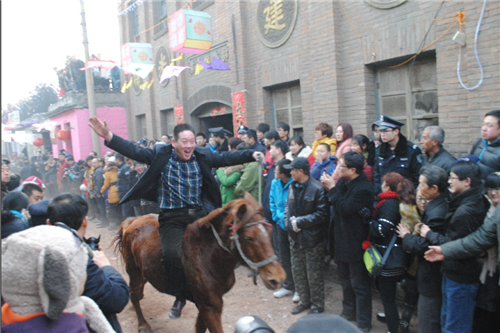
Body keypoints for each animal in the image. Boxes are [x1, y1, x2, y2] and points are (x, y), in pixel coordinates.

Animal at [114, 196, 286, 330]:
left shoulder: (206, 306)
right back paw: (143, 325)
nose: (278, 278)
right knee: (134, 295)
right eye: (249, 237)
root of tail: (133, 220)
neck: (209, 257)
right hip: (134, 271)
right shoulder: (210, 307)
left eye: (269, 232)